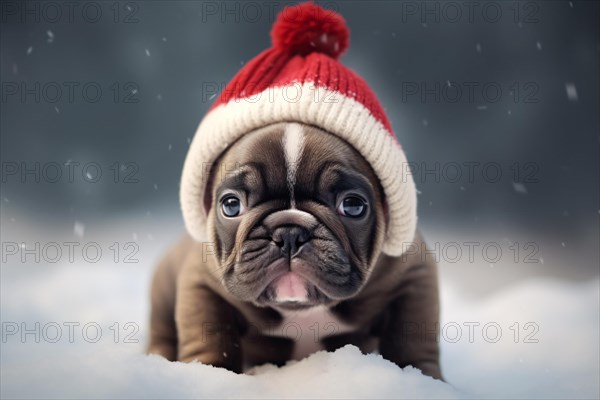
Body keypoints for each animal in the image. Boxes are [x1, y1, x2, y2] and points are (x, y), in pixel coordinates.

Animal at [148, 122, 442, 382]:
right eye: (231, 205)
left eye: (353, 205)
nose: (289, 233)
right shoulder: (202, 283)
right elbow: (210, 335)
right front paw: (209, 373)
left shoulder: (413, 277)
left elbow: (411, 337)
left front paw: (423, 378)